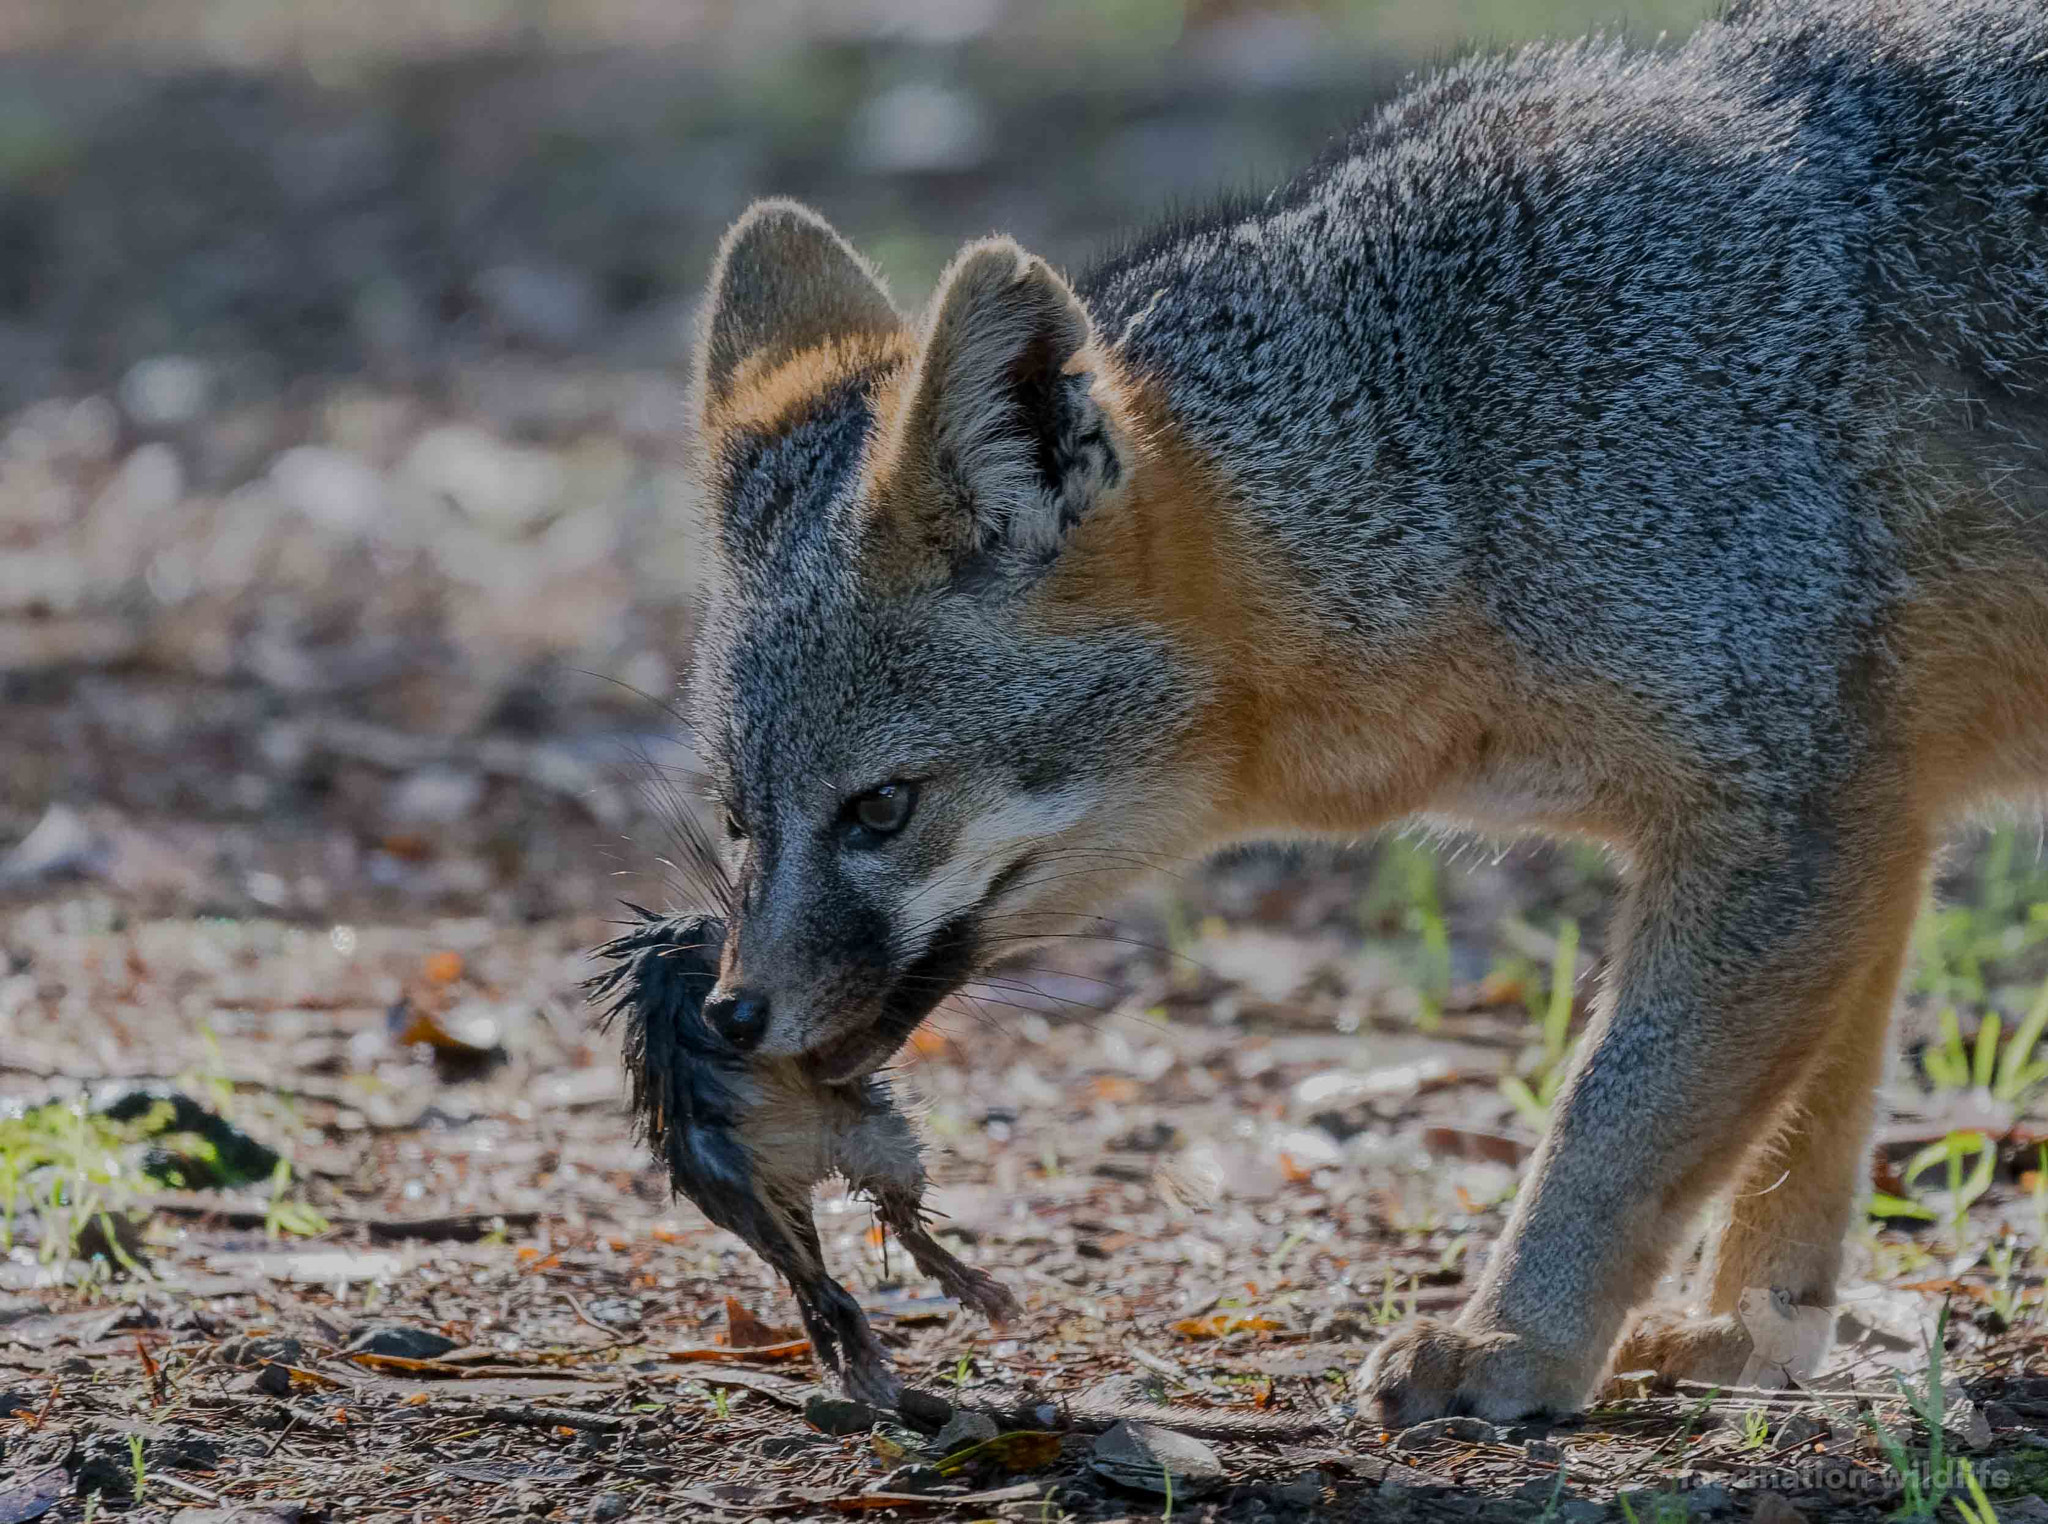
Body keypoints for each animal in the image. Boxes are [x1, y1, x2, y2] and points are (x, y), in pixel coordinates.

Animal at [675, 0, 2048, 1425]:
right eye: (737, 820)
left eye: (881, 809)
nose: (727, 1017)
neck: (1464, 458)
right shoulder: (1869, 816)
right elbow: (1802, 1129)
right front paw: (1752, 1328)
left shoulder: (1788, 823)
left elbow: (1615, 1123)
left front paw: (1514, 1343)